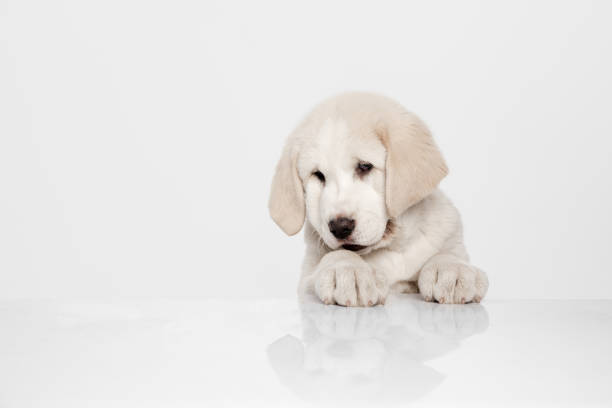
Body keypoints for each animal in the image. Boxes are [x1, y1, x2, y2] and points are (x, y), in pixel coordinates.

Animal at [270, 92, 490, 306]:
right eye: (318, 175)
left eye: (364, 166)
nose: (340, 227)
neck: (393, 247)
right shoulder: (305, 280)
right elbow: (337, 254)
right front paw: (349, 270)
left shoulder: (451, 240)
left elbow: (447, 254)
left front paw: (452, 269)